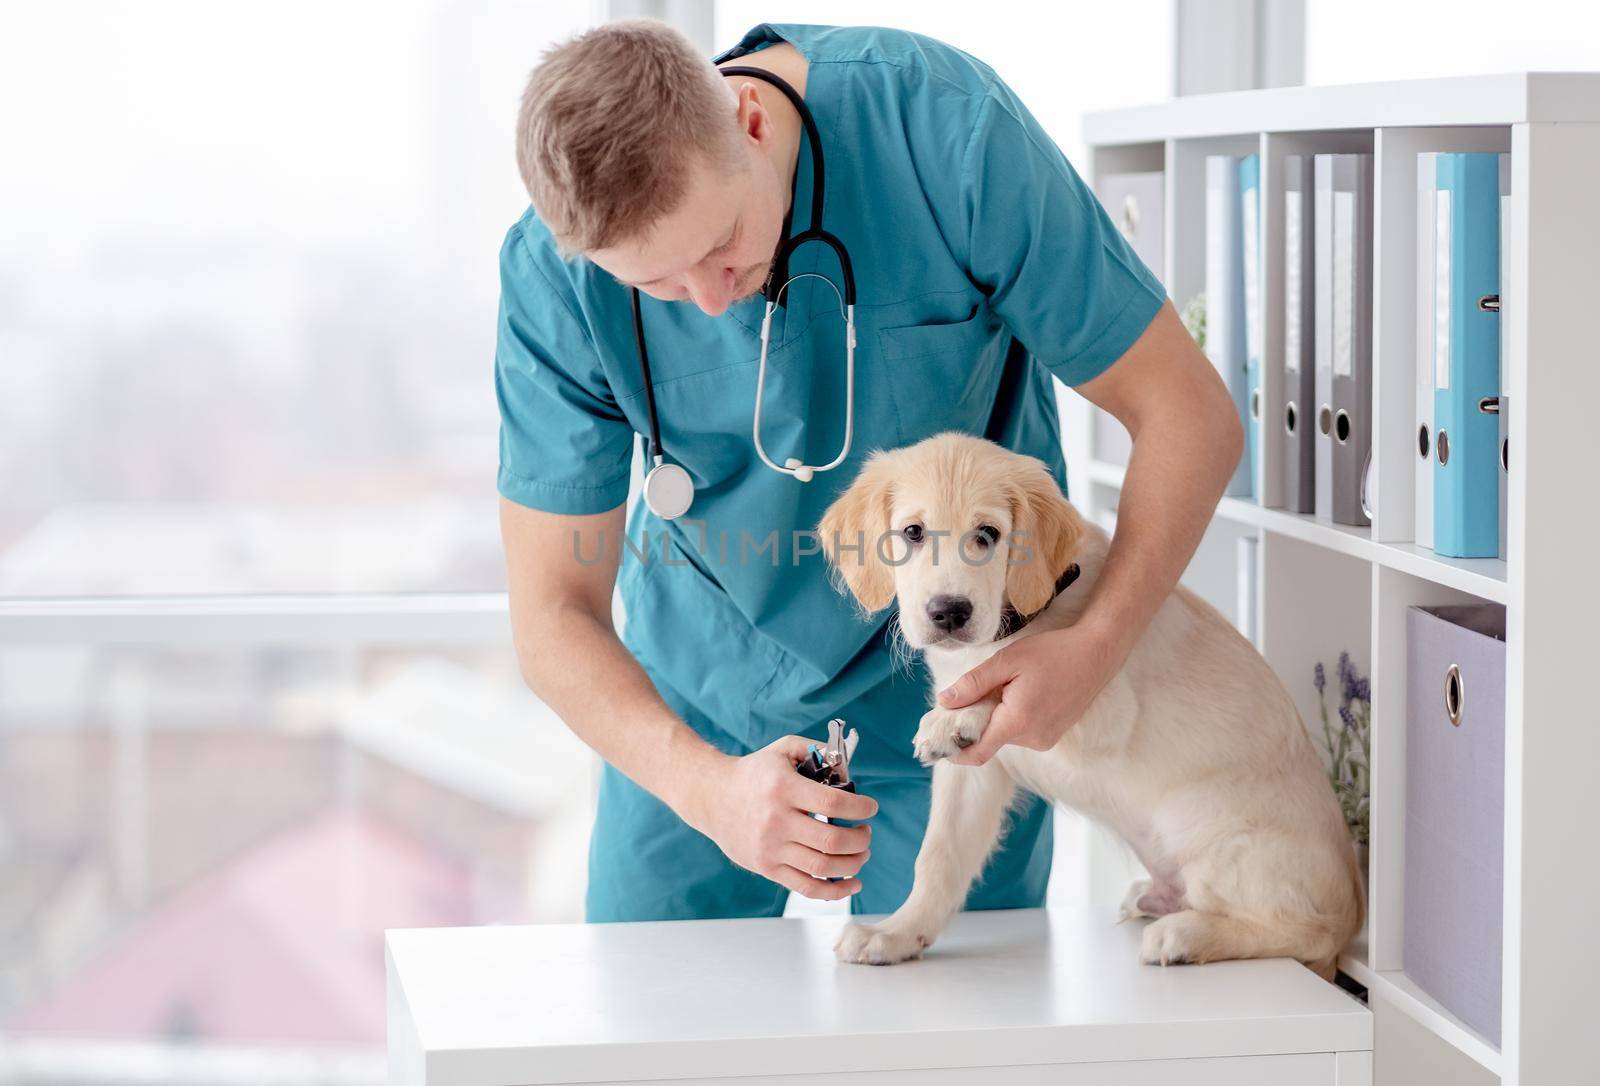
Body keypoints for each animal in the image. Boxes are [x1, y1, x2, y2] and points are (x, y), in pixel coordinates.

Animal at [825, 431, 1363, 978]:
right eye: (912, 532)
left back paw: (1184, 935)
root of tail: (1355, 908)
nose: (949, 613)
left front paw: (952, 716)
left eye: (989, 533)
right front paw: (897, 933)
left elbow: (1011, 675)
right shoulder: (975, 771)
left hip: (1210, 830)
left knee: (1307, 931)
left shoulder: (1092, 706)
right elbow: (938, 857)